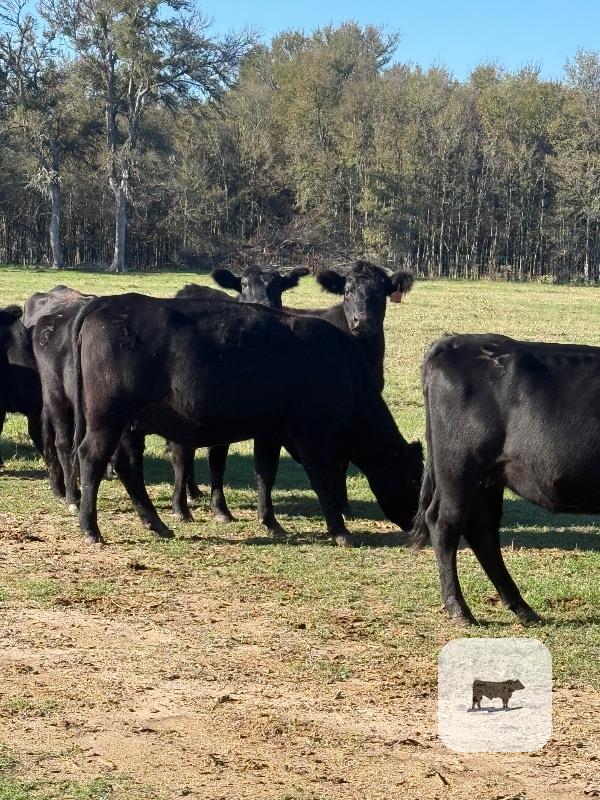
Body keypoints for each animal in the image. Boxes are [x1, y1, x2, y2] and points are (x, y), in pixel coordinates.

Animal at [70, 294, 423, 545]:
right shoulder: (311, 437)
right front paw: (340, 531)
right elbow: (321, 481)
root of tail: (106, 303)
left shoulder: (270, 432)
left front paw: (271, 522)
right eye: (414, 479)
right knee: (92, 457)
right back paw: (91, 530)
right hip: (108, 418)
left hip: (130, 425)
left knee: (128, 466)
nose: (415, 524)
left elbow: (265, 474)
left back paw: (156, 524)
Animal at [412, 333, 600, 626]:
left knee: (483, 531)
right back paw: (460, 610)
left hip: (486, 479)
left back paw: (523, 609)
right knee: (446, 524)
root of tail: (452, 341)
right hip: (458, 467)